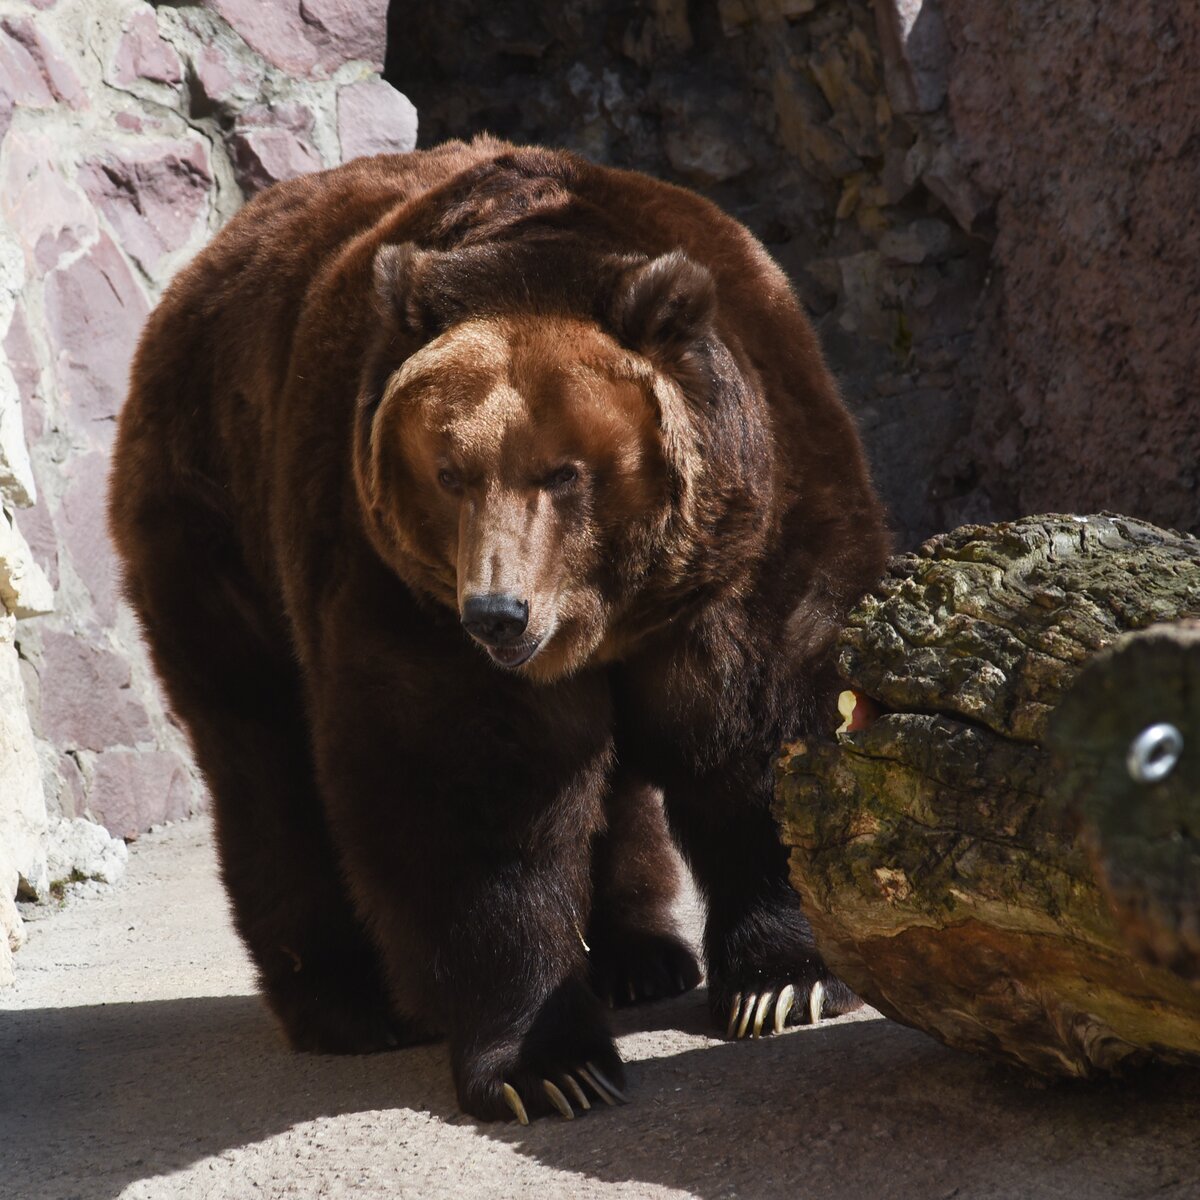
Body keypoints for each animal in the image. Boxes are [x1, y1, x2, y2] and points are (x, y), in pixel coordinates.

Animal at [105, 136, 892, 1118]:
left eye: (564, 472)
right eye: (449, 472)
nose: (497, 612)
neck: (614, 611)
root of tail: (194, 275)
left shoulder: (748, 535)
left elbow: (762, 726)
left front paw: (784, 982)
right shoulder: (396, 579)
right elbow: (478, 795)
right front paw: (551, 1064)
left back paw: (642, 955)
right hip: (218, 519)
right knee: (262, 756)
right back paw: (349, 1005)